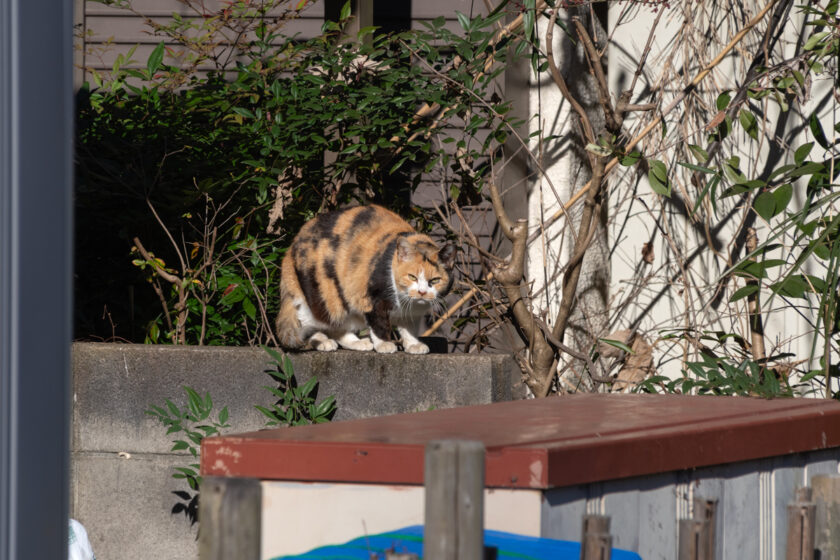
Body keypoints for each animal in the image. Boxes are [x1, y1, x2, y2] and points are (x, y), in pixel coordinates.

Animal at [276, 206, 452, 354]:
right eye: (412, 277)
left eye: (435, 280)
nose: (422, 292)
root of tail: (290, 249)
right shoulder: (371, 298)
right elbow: (379, 323)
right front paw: (384, 344)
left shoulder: (411, 314)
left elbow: (409, 328)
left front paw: (414, 344)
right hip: (325, 298)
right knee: (307, 323)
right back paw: (322, 341)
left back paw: (358, 342)